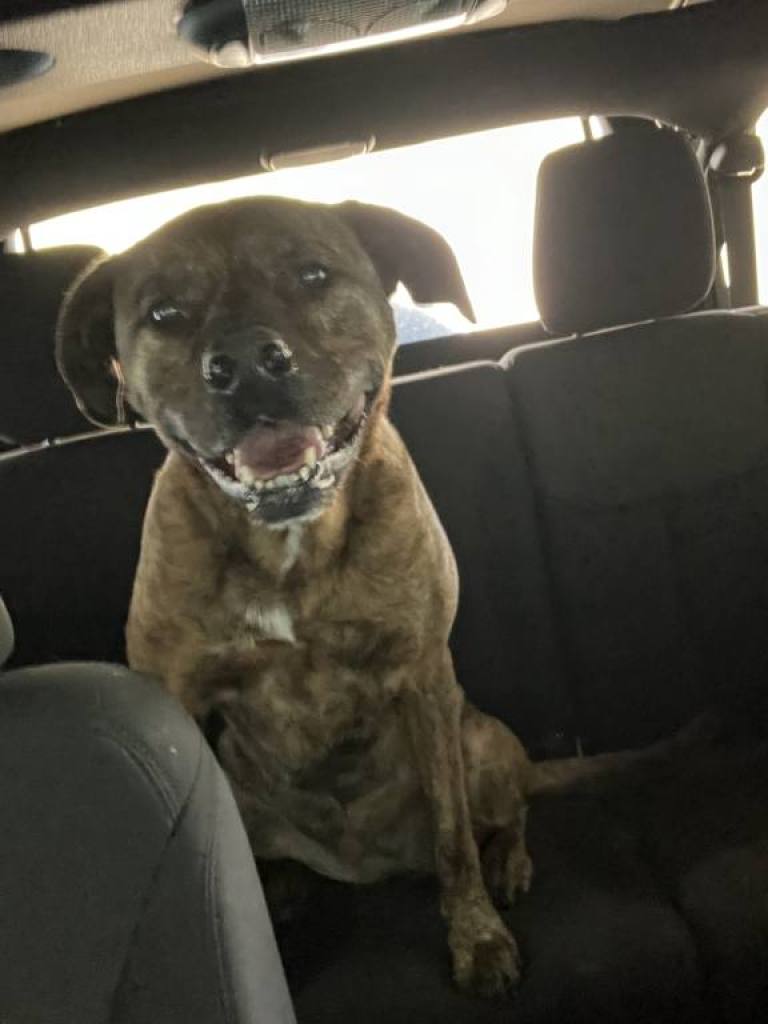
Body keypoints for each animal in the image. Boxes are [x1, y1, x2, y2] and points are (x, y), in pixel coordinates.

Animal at [57, 195, 626, 995]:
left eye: (312, 274)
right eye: (164, 313)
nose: (244, 363)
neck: (289, 546)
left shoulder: (424, 675)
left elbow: (454, 838)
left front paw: (477, 937)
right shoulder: (180, 698)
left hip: (478, 741)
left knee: (504, 812)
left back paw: (508, 863)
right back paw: (287, 892)